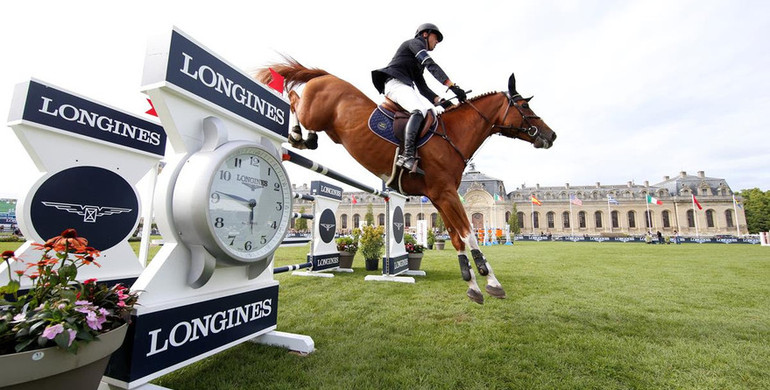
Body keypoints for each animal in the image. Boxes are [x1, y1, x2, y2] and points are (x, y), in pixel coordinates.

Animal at [255, 60, 556, 304]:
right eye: (524, 105)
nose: (551, 135)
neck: (452, 137)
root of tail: (326, 76)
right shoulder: (447, 194)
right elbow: (469, 233)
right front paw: (489, 279)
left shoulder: (439, 197)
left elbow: (456, 238)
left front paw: (472, 284)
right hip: (312, 112)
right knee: (293, 98)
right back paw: (295, 131)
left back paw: (306, 138)